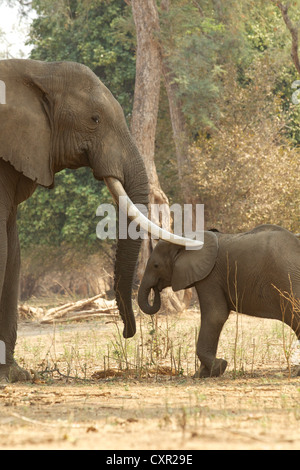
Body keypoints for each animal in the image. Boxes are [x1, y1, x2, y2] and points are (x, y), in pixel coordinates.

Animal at [138, 224, 300, 378]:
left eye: (156, 265)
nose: (156, 289)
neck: (185, 238)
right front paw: (202, 374)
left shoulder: (210, 277)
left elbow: (215, 316)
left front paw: (218, 367)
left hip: (288, 280)